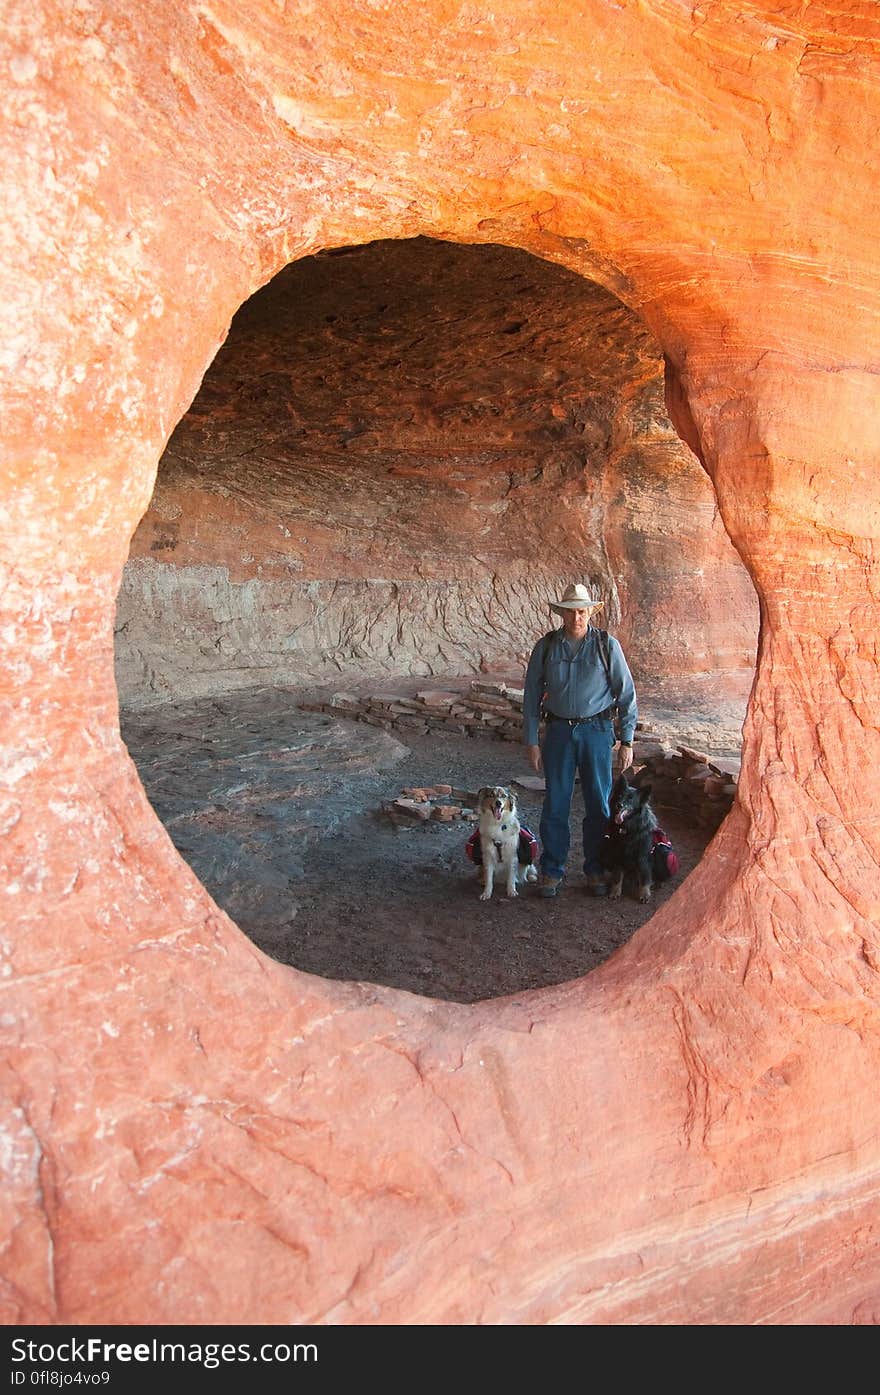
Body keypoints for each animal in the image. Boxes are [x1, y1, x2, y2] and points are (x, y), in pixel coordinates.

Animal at [599, 775, 661, 903]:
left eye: (631, 799)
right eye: (619, 796)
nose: (619, 805)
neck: (627, 828)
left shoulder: (642, 857)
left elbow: (644, 876)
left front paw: (645, 894)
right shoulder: (617, 855)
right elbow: (617, 876)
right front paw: (615, 891)